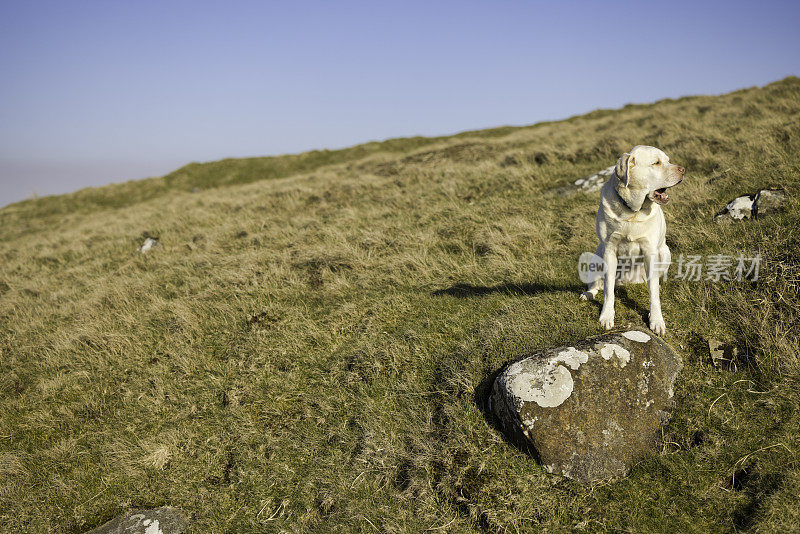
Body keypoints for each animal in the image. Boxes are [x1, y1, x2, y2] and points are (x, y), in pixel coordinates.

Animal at [580, 146, 684, 336]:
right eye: (656, 163)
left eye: (668, 160)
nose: (683, 170)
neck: (632, 212)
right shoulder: (609, 250)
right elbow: (608, 290)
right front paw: (606, 316)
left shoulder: (650, 251)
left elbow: (653, 295)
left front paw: (656, 320)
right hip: (596, 256)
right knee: (597, 285)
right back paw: (588, 294)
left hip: (665, 252)